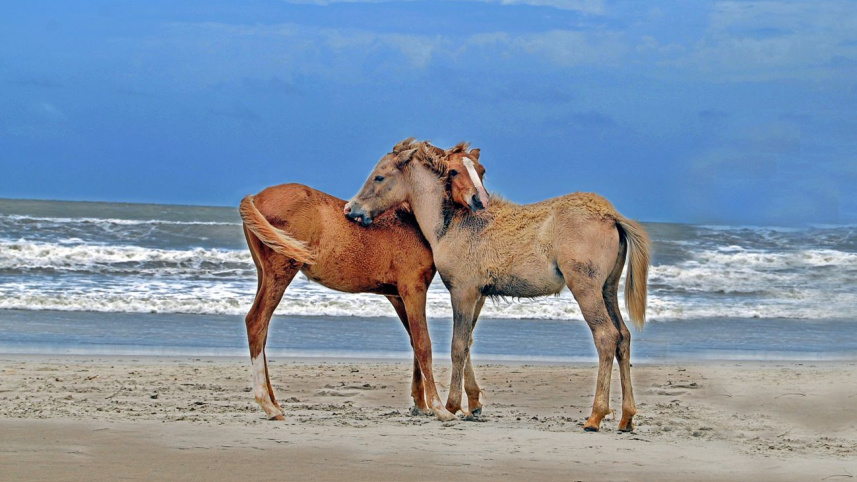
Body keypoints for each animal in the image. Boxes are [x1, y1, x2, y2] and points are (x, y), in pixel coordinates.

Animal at [239, 138, 487, 422]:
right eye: (454, 172)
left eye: (481, 171)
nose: (480, 201)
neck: (409, 220)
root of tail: (256, 197)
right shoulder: (413, 289)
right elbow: (424, 344)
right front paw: (439, 407)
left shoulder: (397, 295)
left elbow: (414, 341)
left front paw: (421, 404)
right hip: (280, 274)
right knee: (257, 322)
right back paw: (267, 405)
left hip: (264, 274)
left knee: (262, 330)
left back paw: (275, 403)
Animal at [345, 144, 651, 431]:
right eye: (454, 171)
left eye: (379, 176)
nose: (351, 209)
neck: (453, 224)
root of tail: (611, 216)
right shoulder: (479, 295)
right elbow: (468, 341)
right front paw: (473, 405)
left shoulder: (462, 292)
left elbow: (458, 346)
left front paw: (452, 406)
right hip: (607, 290)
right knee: (623, 337)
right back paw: (626, 417)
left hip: (585, 288)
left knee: (606, 336)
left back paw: (595, 416)